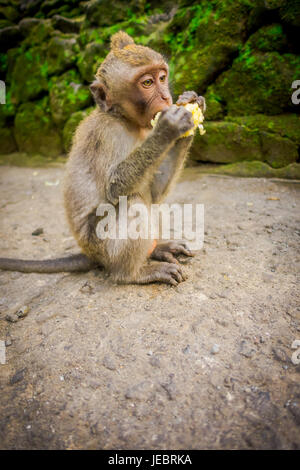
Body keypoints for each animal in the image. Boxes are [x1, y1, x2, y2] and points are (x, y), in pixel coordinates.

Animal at [0, 32, 205, 286]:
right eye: (148, 83)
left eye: (162, 77)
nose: (167, 97)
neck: (125, 120)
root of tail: (90, 253)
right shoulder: (106, 134)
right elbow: (114, 189)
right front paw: (169, 127)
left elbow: (155, 193)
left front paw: (193, 107)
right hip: (103, 245)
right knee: (133, 202)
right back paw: (133, 273)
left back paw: (157, 249)